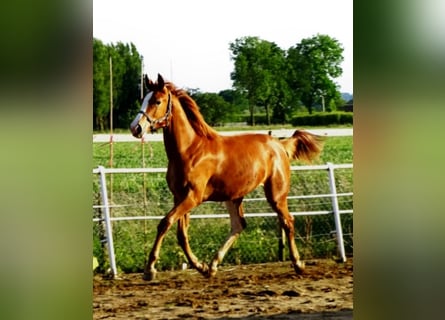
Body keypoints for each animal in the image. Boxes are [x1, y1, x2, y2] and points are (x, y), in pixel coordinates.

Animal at [130, 74, 324, 278]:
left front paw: (150, 269)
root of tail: (280, 144)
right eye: (143, 99)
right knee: (239, 225)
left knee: (288, 221)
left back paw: (298, 264)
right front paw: (201, 266)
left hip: (276, 195)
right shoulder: (179, 197)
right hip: (233, 197)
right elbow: (181, 234)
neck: (190, 150)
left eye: (157, 101)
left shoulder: (192, 197)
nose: (136, 128)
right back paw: (213, 265)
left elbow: (165, 223)